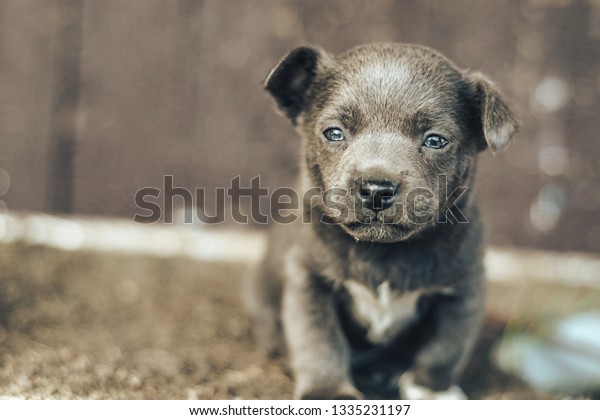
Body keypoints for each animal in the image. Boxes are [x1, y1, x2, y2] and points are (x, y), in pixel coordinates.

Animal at [246, 43, 516, 400]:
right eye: (334, 133)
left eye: (435, 140)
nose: (375, 188)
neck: (384, 251)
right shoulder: (308, 281)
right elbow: (319, 341)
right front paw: (326, 393)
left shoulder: (464, 289)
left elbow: (444, 348)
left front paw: (431, 390)